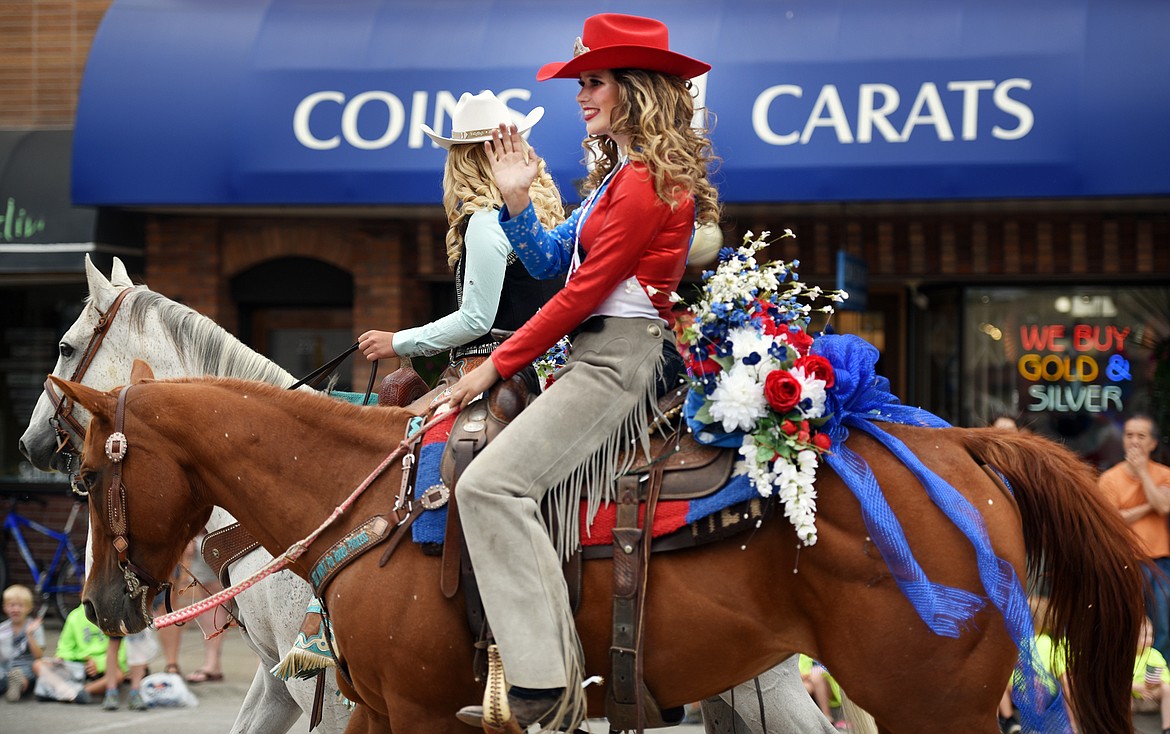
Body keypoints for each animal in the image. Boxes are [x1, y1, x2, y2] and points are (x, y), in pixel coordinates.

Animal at [57, 376, 1141, 730]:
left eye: (82, 476)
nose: (103, 603)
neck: (368, 497)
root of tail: (965, 445)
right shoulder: (379, 709)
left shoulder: (424, 712)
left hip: (931, 703)